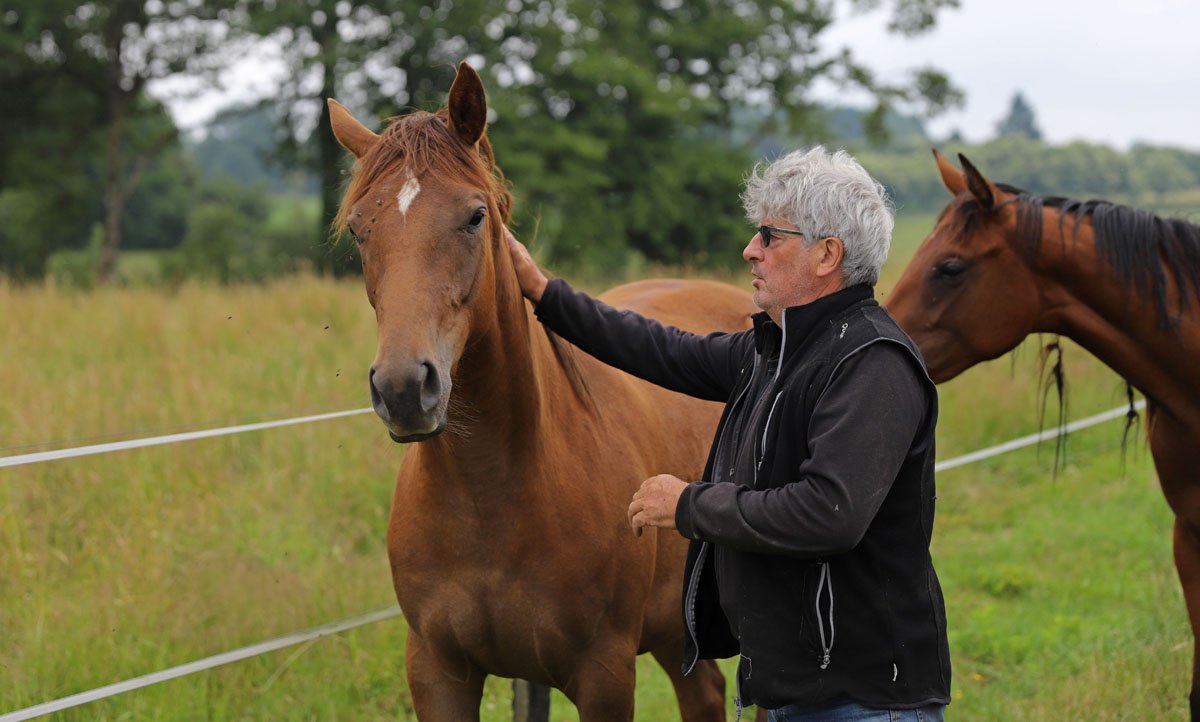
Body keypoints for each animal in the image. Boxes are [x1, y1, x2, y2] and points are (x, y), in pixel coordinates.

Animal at [326, 62, 757, 721]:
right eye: (359, 229)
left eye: (475, 217)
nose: (403, 388)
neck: (491, 497)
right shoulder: (438, 671)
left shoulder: (604, 677)